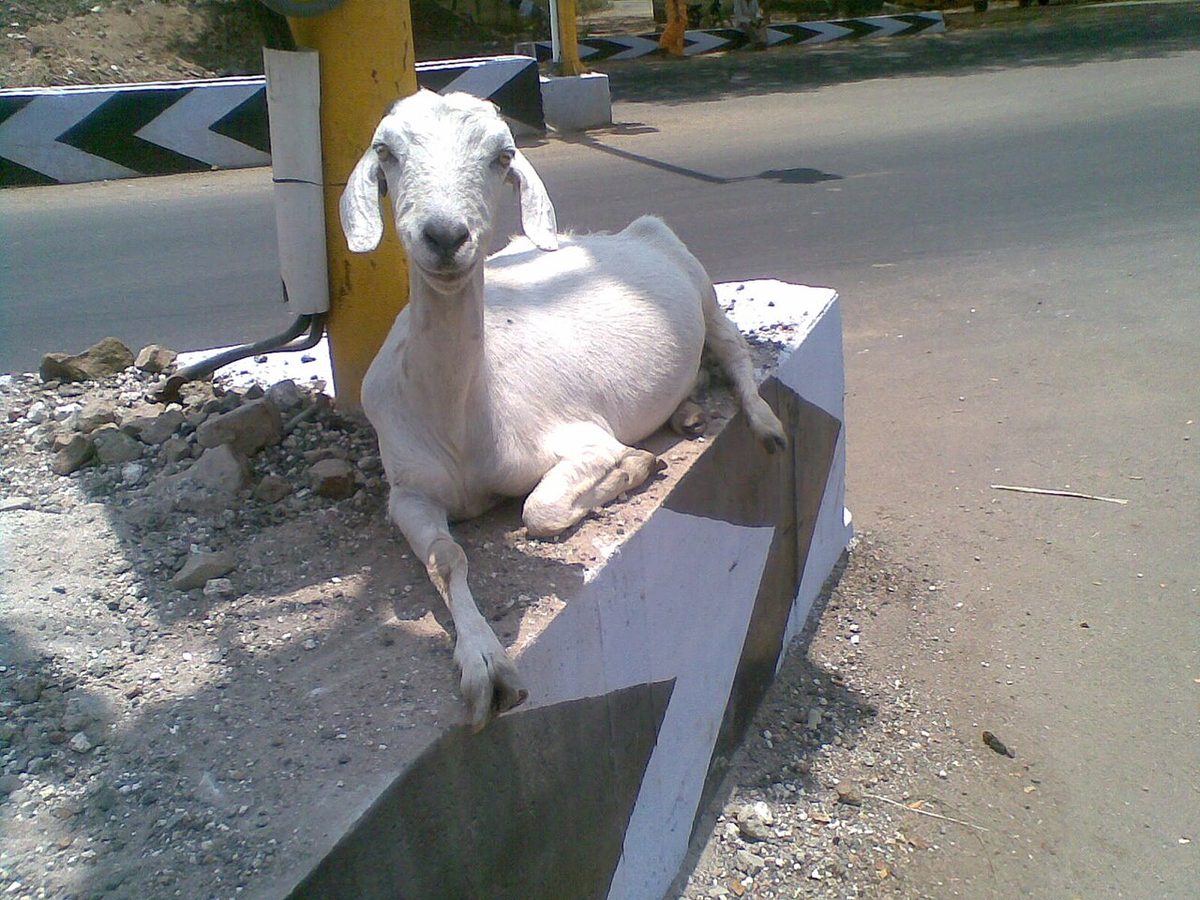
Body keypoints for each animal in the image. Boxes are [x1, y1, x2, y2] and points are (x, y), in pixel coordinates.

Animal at [340, 90, 786, 729]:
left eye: (502, 155)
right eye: (385, 150)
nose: (445, 235)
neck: (462, 420)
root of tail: (616, 231)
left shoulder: (579, 435)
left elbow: (540, 510)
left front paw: (634, 467)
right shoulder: (407, 489)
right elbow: (447, 556)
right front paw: (484, 665)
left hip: (698, 281)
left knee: (733, 349)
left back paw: (762, 424)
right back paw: (689, 411)